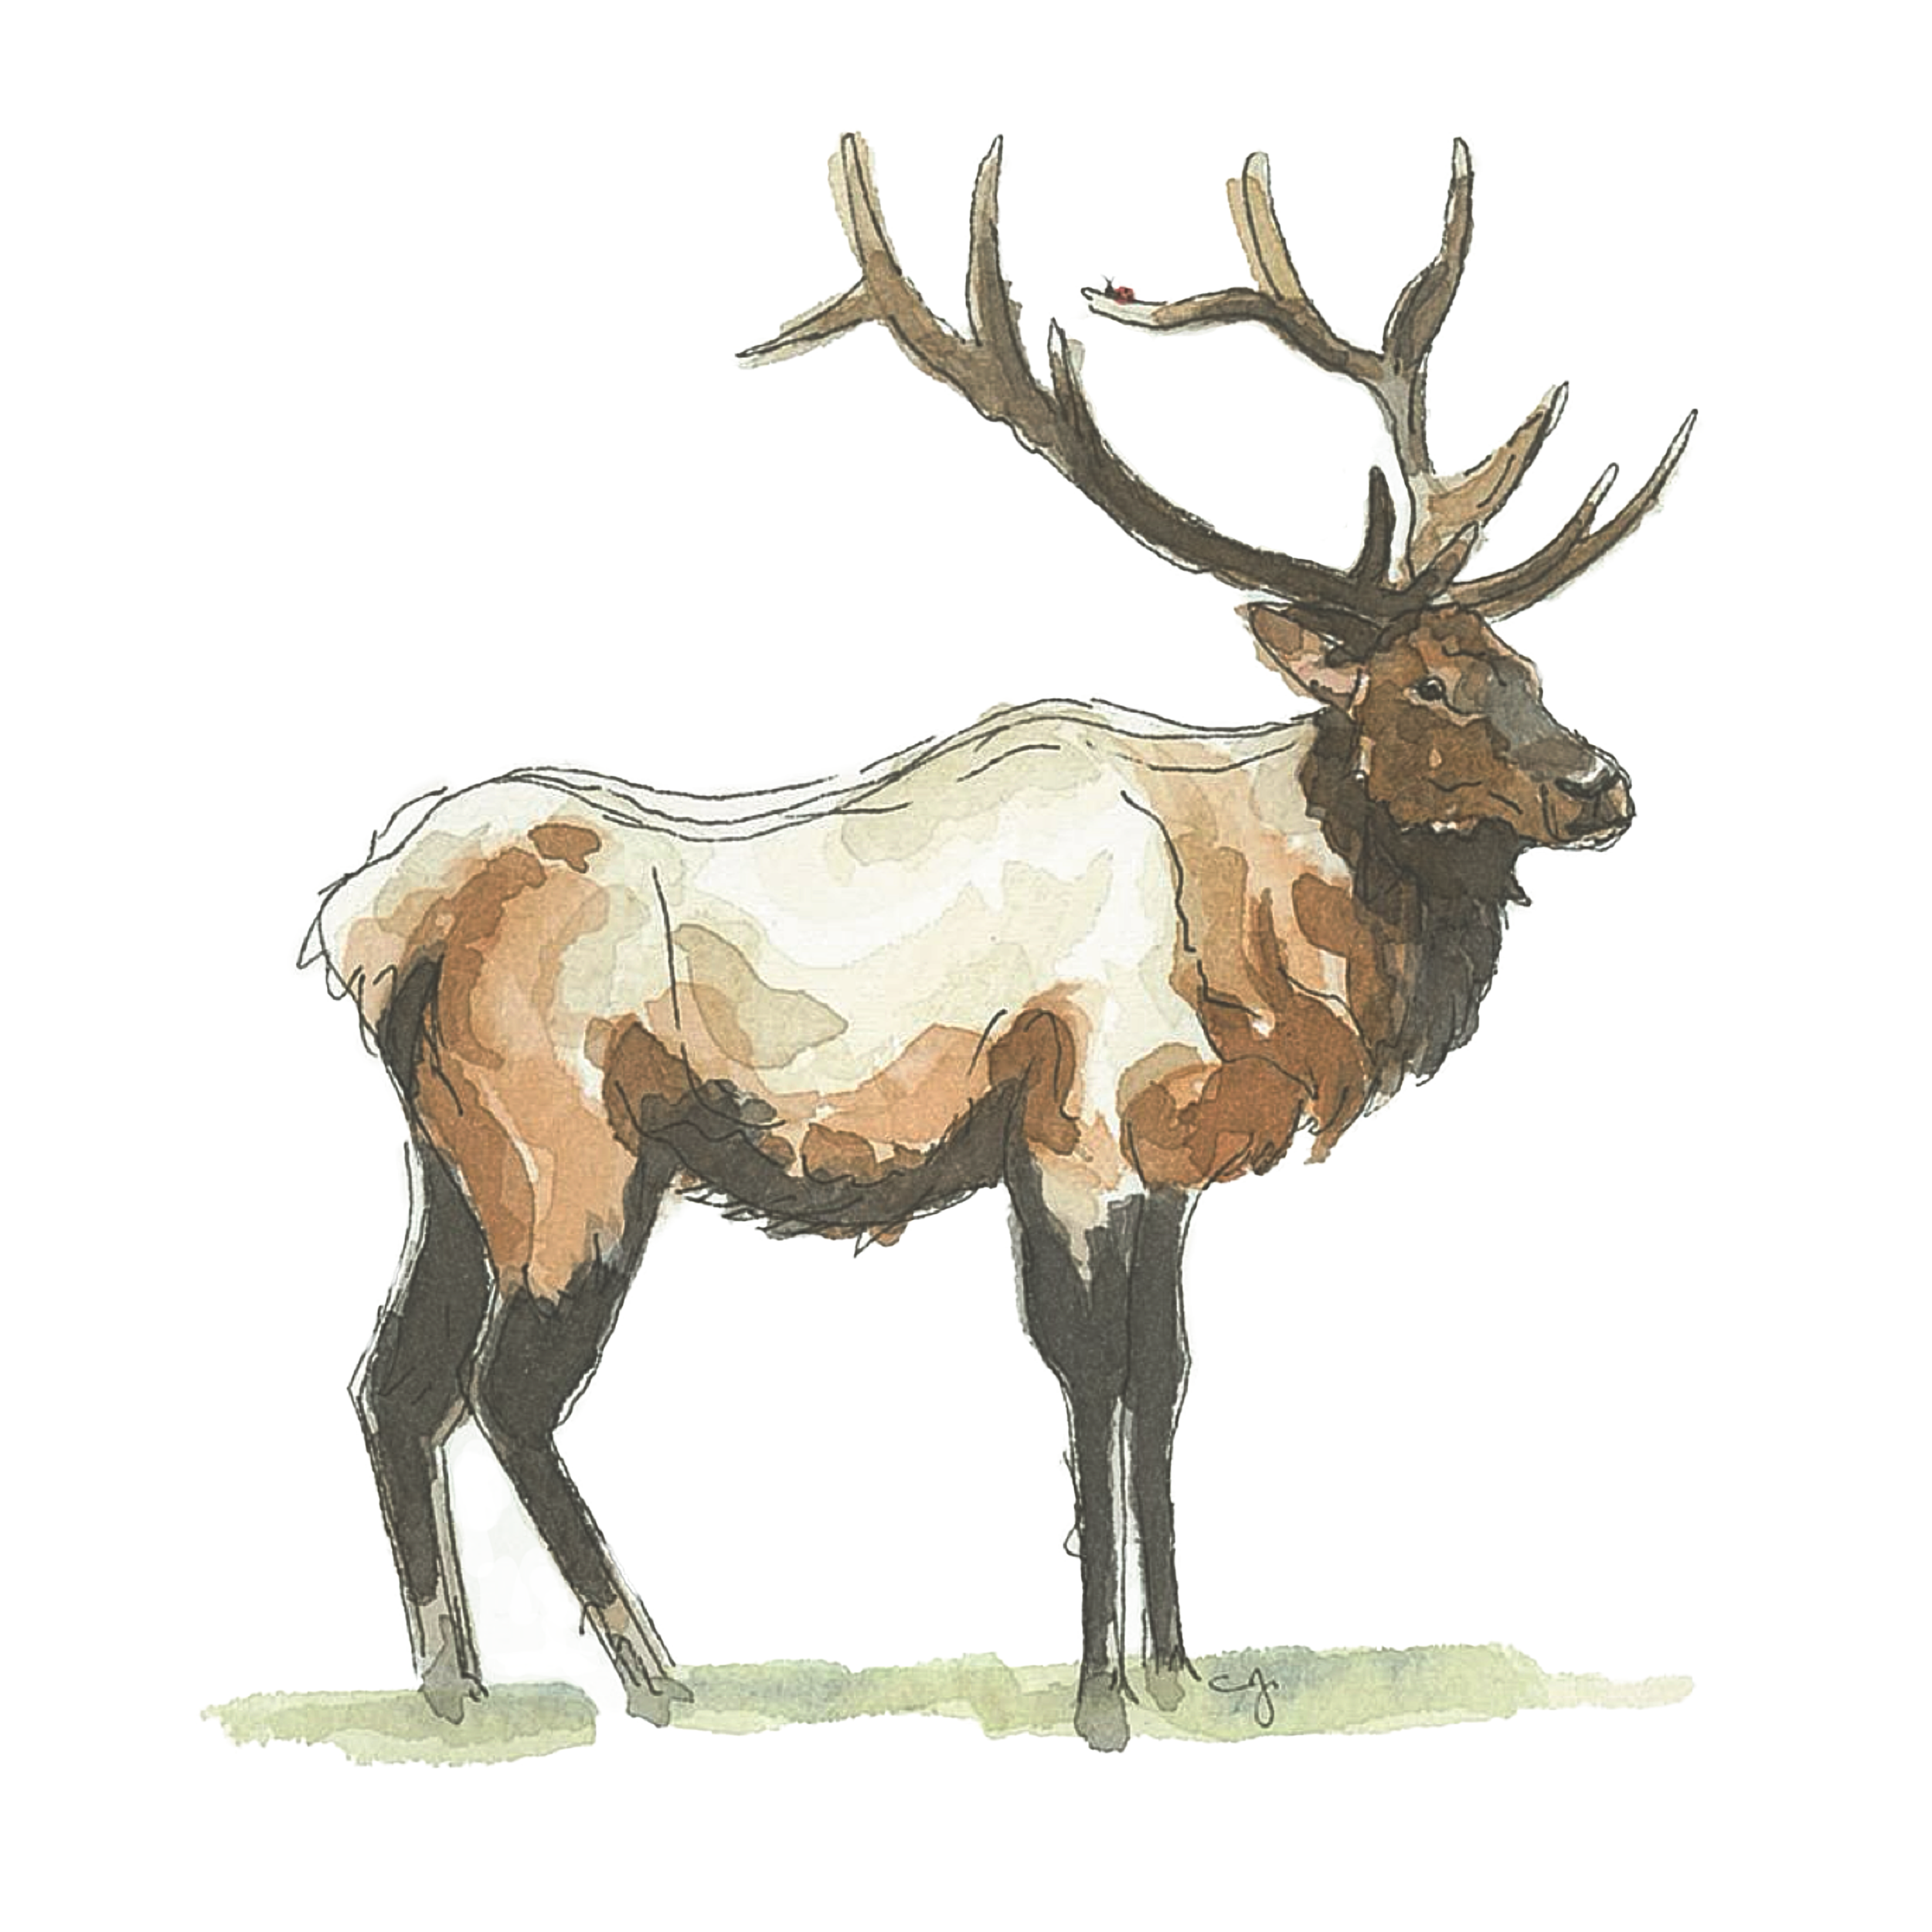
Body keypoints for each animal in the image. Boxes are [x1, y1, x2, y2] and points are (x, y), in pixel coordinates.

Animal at [305, 134, 1692, 1752]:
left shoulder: (1169, 1168)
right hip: (567, 1145)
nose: (1604, 785)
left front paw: (1188, 1670)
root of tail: (370, 913)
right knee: (510, 1389)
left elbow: (1164, 1386)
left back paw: (457, 1688)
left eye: (1521, 660)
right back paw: (657, 1675)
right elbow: (1086, 1388)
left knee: (396, 1381)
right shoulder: (1070, 1131)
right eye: (1425, 683)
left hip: (454, 1157)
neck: (1251, 936)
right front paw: (1100, 1698)